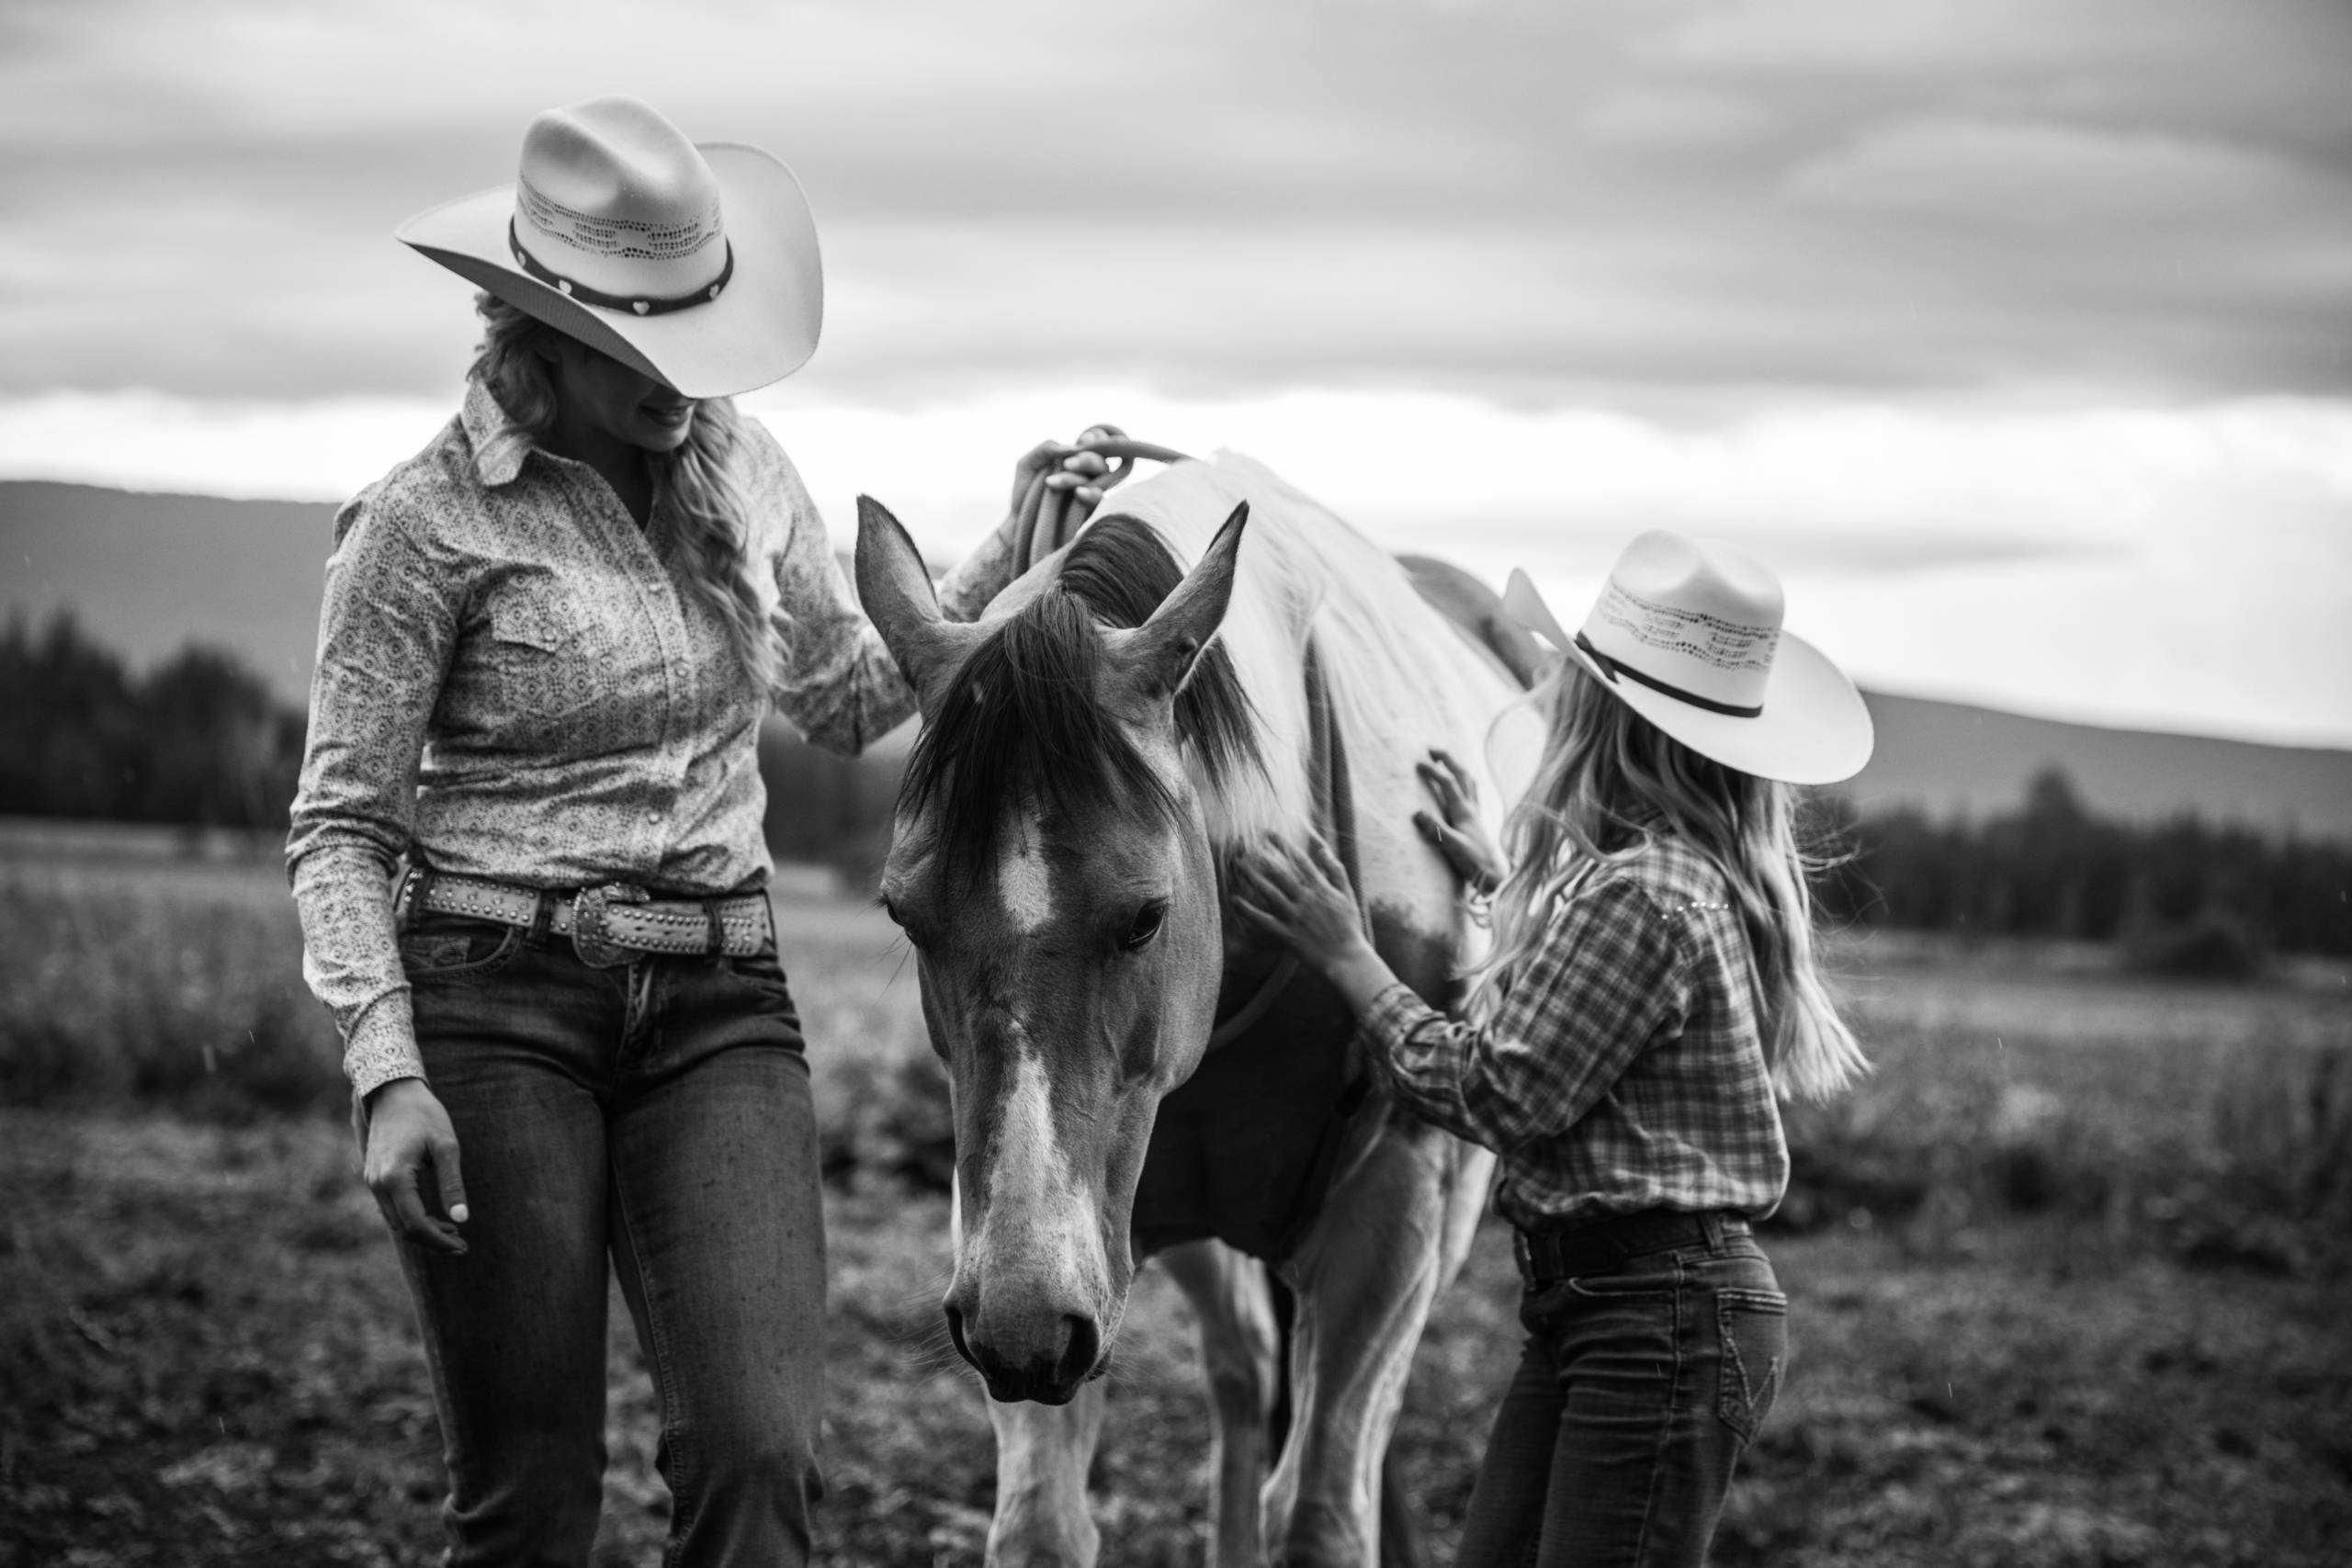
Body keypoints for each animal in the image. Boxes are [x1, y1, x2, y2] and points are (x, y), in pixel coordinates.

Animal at [855, 446, 1552, 1561]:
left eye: (1147, 916)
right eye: (905, 912)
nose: (1020, 1324)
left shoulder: (1399, 1210)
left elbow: (1321, 1513)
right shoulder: (1040, 1254)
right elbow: (1043, 1521)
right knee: (1244, 1372)